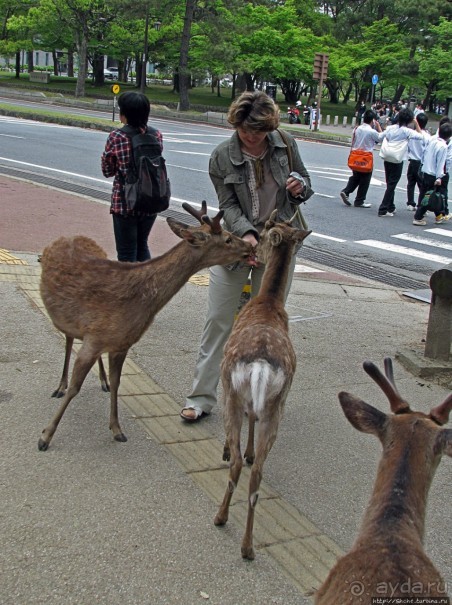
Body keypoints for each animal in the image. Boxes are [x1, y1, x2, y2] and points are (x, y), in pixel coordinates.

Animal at [38, 201, 254, 450]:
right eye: (227, 238)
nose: (250, 246)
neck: (139, 303)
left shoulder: (120, 344)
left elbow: (117, 383)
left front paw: (117, 429)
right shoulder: (95, 338)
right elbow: (75, 387)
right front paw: (45, 436)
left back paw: (101, 381)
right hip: (67, 320)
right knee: (68, 340)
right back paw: (60, 386)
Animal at [212, 210, 310, 560]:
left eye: (265, 234)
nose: (255, 252)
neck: (267, 303)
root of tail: (261, 365)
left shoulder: (229, 389)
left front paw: (229, 449)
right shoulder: (261, 402)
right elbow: (251, 421)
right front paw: (252, 450)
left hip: (232, 390)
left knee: (238, 466)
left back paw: (221, 517)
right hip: (277, 404)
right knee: (257, 473)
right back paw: (248, 545)